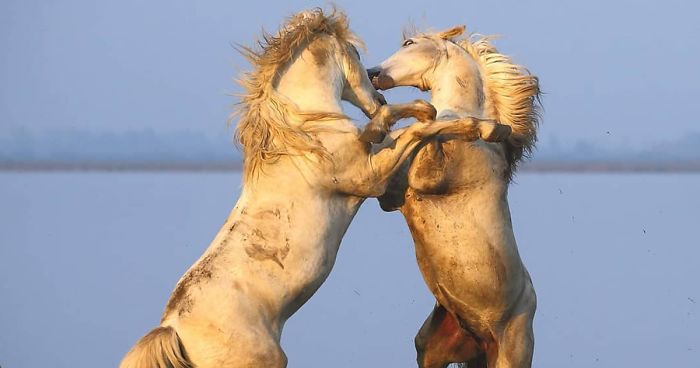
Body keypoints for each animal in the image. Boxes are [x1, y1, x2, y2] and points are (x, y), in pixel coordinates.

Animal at [117, 11, 506, 368]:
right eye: (357, 54)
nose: (377, 87)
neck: (307, 132)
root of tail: (173, 332)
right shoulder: (370, 177)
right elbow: (416, 130)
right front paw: (477, 127)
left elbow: (405, 126)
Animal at [370, 25, 544, 368]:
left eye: (409, 43)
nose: (372, 74)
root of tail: (480, 337)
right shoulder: (391, 195)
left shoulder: (428, 176)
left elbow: (429, 126)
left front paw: (487, 128)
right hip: (432, 349)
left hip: (510, 354)